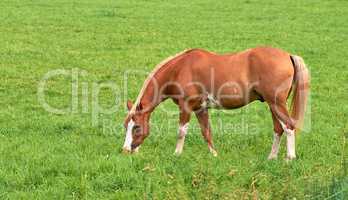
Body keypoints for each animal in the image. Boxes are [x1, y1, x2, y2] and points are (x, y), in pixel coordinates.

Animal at [122, 46, 310, 159]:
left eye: (136, 127)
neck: (180, 69)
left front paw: (177, 154)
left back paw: (289, 158)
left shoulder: (186, 107)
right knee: (278, 129)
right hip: (272, 105)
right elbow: (206, 132)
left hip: (276, 104)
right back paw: (271, 157)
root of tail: (288, 55)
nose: (126, 150)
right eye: (126, 127)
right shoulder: (200, 109)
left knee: (289, 127)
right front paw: (214, 155)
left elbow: (181, 132)